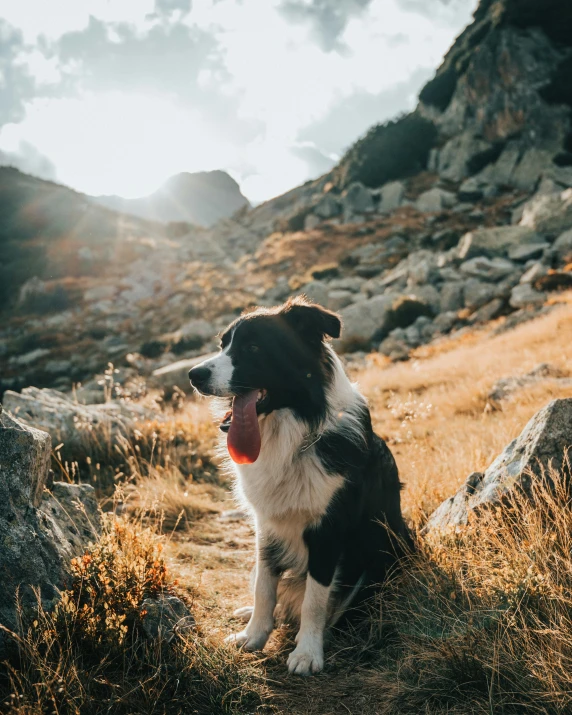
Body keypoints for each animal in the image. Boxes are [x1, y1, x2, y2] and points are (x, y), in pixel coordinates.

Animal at [189, 296, 412, 676]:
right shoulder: (267, 524)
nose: (194, 375)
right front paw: (254, 635)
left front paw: (307, 652)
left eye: (253, 347)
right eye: (223, 345)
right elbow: (264, 586)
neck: (295, 433)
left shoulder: (328, 530)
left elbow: (315, 599)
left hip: (380, 556)